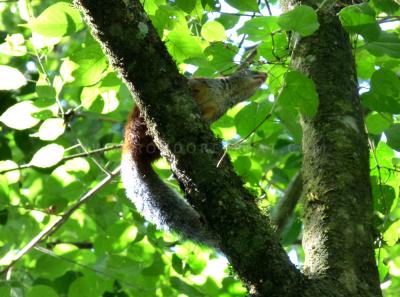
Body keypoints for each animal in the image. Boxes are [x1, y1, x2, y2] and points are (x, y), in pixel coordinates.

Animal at [120, 69, 268, 243]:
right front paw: (184, 80)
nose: (265, 75)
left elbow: (206, 119)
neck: (226, 95)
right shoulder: (205, 83)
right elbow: (192, 83)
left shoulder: (214, 111)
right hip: (138, 120)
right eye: (253, 71)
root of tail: (130, 147)